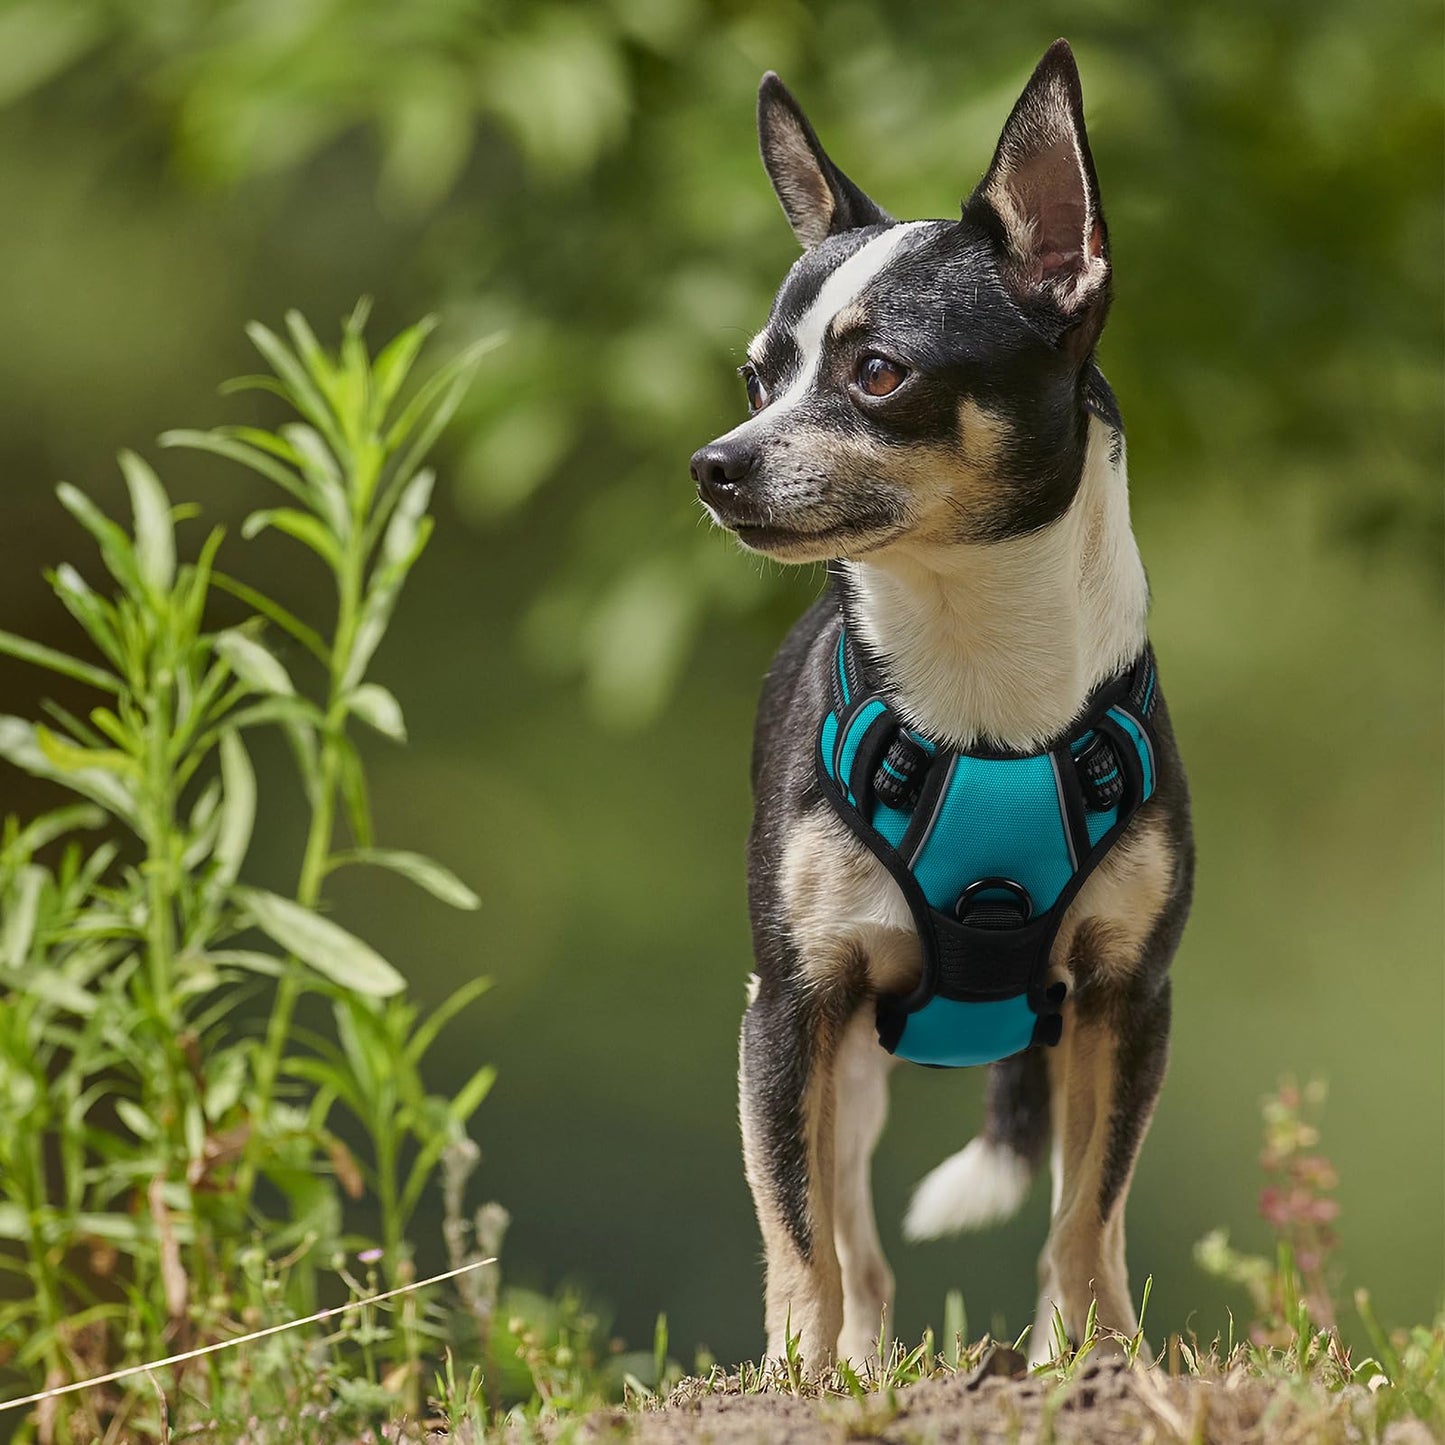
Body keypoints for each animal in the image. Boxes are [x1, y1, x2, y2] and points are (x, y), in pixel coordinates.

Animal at [687, 36, 1196, 1364]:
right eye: (756, 378)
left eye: (878, 372)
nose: (713, 463)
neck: (978, 683)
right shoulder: (789, 1007)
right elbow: (796, 1232)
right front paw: (795, 1374)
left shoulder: (1125, 997)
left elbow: (1088, 1214)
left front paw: (1093, 1358)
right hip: (848, 1060)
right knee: (852, 1240)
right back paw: (852, 1358)